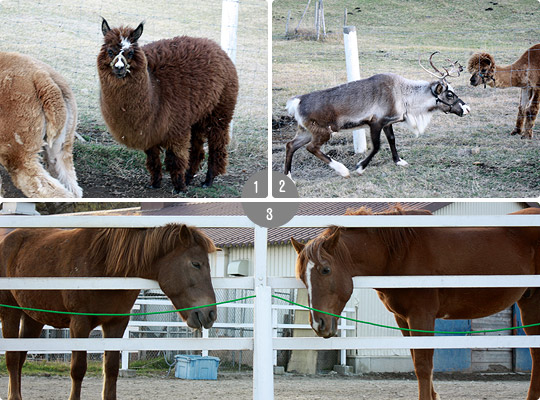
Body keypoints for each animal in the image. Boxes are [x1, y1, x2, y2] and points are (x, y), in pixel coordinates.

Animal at [0, 225, 219, 400]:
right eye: (196, 263)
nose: (210, 313)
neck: (106, 267)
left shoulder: (116, 323)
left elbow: (111, 369)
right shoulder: (79, 323)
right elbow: (78, 369)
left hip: (32, 318)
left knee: (20, 359)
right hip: (10, 313)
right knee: (12, 359)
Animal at [294, 206, 540, 400]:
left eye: (326, 270)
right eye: (302, 277)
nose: (318, 324)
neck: (400, 253)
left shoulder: (421, 316)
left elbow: (423, 365)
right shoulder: (403, 318)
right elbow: (416, 362)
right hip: (529, 304)